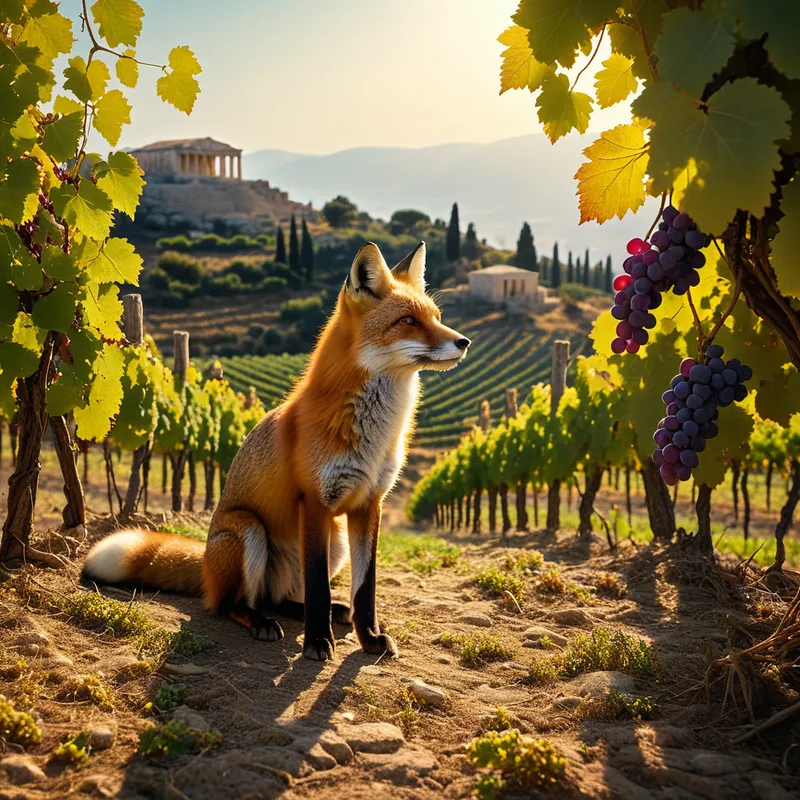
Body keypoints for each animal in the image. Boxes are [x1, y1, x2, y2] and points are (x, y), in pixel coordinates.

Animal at [82, 241, 470, 661]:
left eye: (437, 317)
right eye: (408, 321)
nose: (464, 342)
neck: (373, 435)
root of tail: (204, 564)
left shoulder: (369, 502)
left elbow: (365, 588)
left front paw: (369, 638)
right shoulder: (315, 501)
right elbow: (318, 587)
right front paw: (317, 642)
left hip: (334, 543)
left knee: (280, 599)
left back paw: (320, 612)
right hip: (250, 531)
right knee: (231, 604)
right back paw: (262, 622)